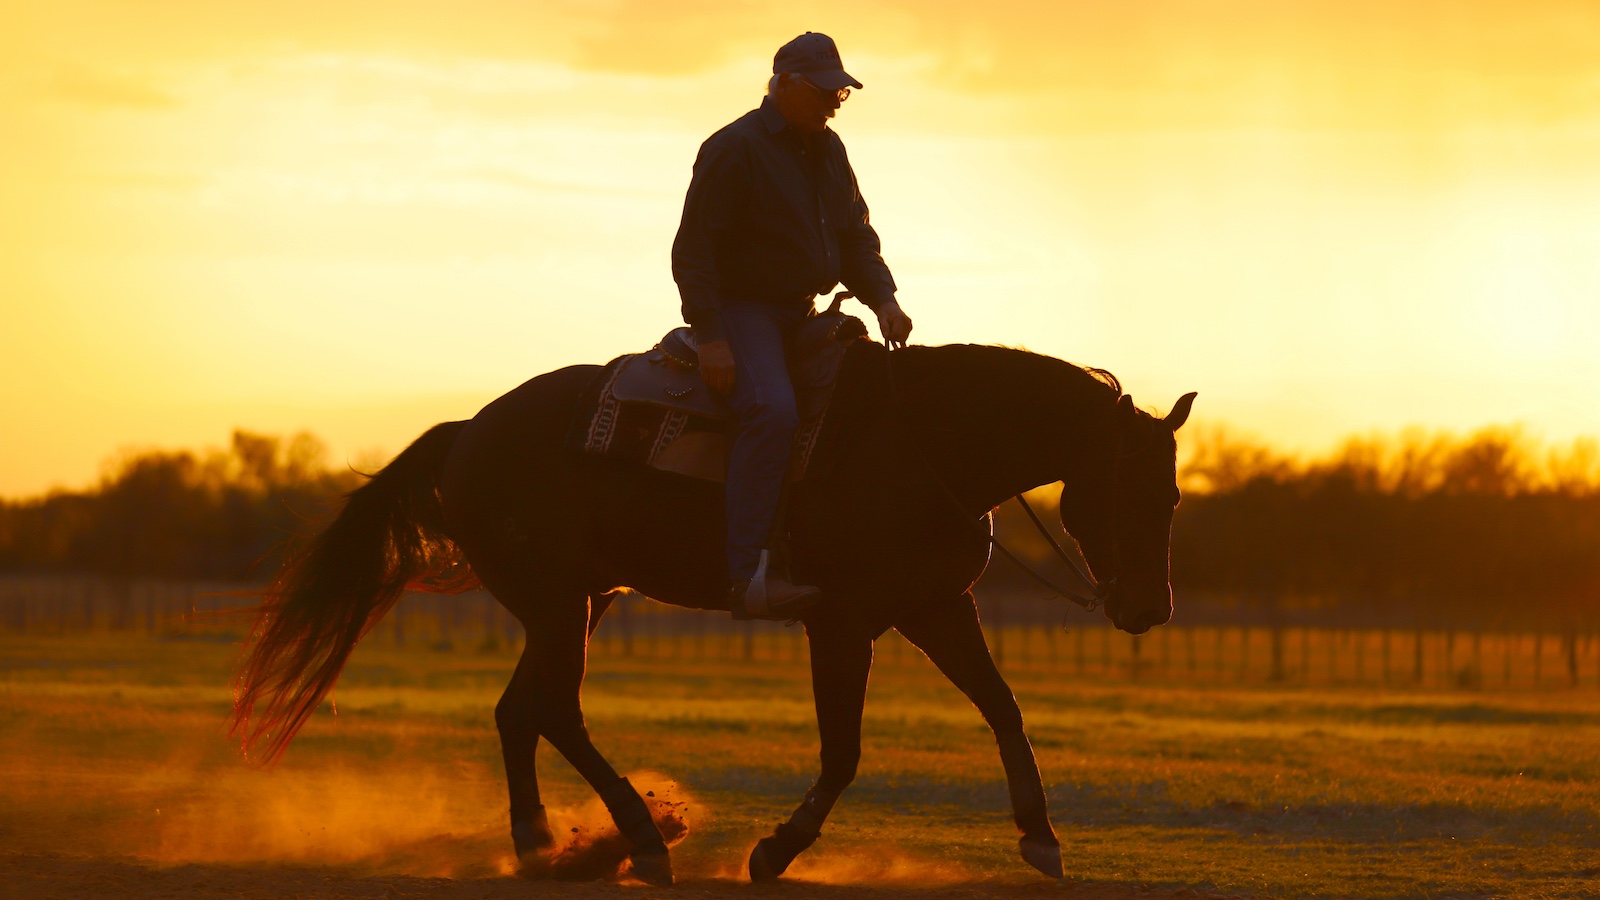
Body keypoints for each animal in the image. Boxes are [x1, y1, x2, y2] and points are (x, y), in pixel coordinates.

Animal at [229, 338, 1195, 886]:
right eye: (1130, 492)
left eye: (1177, 496)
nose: (1149, 609)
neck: (923, 444)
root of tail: (466, 431)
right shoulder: (839, 623)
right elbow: (843, 751)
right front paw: (776, 849)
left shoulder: (935, 607)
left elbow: (1003, 707)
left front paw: (1042, 835)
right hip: (556, 603)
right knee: (557, 711)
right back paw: (639, 840)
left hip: (578, 603)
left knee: (519, 711)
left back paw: (541, 843)